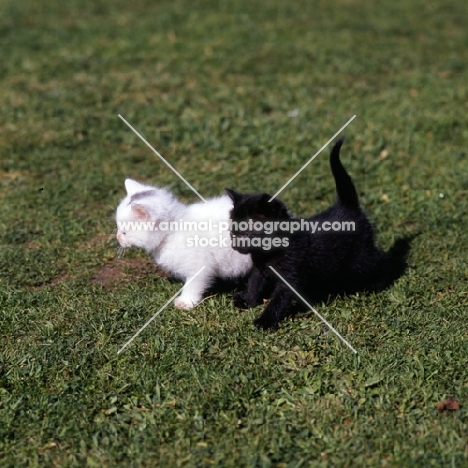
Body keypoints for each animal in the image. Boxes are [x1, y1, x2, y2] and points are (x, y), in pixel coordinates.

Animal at [116, 180, 252, 310]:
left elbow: (193, 285)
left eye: (124, 232)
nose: (117, 237)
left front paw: (186, 302)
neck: (173, 231)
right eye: (118, 228)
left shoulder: (199, 266)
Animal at [226, 137, 410, 330]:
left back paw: (381, 282)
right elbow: (254, 284)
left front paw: (266, 320)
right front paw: (248, 301)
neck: (269, 253)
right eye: (232, 231)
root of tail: (346, 206)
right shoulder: (259, 269)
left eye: (245, 232)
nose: (234, 244)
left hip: (362, 259)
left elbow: (278, 300)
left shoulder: (290, 278)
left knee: (381, 262)